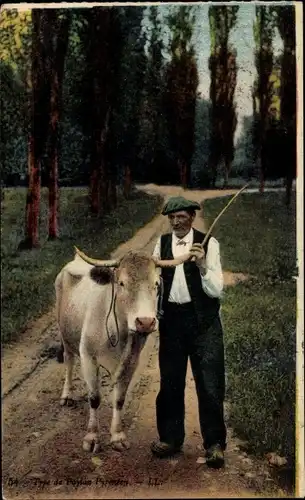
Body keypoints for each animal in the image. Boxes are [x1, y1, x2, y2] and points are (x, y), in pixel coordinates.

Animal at [54, 246, 185, 454]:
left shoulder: (131, 361)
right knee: (69, 361)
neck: (118, 330)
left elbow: (119, 399)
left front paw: (117, 436)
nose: (145, 322)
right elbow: (94, 398)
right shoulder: (88, 357)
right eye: (122, 283)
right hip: (65, 335)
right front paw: (92, 437)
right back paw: (67, 395)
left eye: (156, 284)